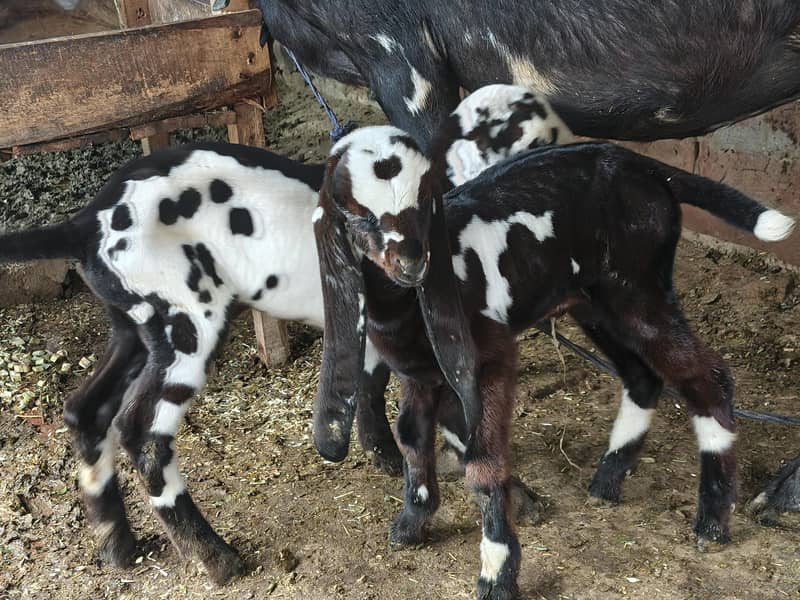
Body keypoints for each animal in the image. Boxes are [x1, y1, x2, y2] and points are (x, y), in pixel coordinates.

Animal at [0, 84, 570, 584]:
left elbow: (372, 389)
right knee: (142, 433)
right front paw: (513, 495)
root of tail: (86, 224)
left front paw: (383, 454)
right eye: (522, 128)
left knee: (86, 411)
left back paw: (118, 544)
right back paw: (215, 558)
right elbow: (446, 409)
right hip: (186, 320)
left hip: (135, 324)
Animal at [312, 125, 795, 599]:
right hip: (595, 302)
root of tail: (647, 167)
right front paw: (412, 523)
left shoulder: (490, 356)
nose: (413, 262)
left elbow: (484, 461)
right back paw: (607, 480)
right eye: (356, 214)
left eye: (424, 200)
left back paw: (712, 522)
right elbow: (412, 436)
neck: (403, 310)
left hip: (639, 290)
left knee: (707, 376)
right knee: (642, 376)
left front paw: (497, 572)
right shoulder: (419, 373)